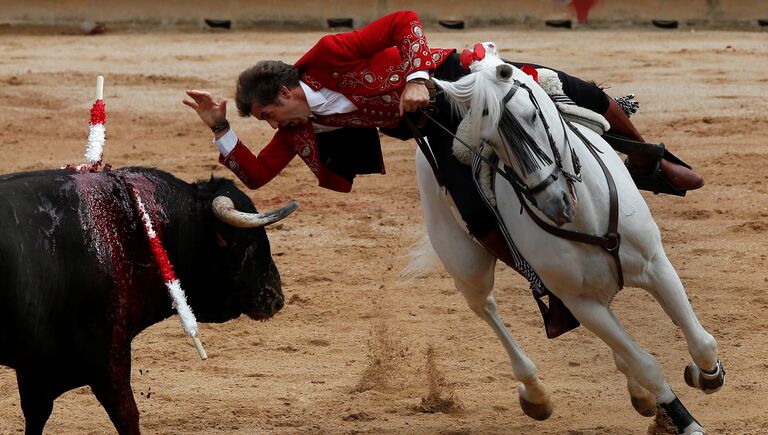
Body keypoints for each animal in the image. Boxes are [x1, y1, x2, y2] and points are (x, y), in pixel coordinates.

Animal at [0, 166, 290, 432]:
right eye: (249, 243)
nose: (276, 297)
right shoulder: (108, 355)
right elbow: (127, 416)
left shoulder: (36, 367)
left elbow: (36, 414)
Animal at [416, 42, 724, 434]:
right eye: (489, 140)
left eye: (533, 115)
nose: (554, 203)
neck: (585, 216)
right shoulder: (581, 303)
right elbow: (647, 365)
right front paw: (683, 420)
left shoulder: (656, 265)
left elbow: (701, 341)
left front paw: (708, 375)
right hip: (465, 263)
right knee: (485, 307)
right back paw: (536, 393)